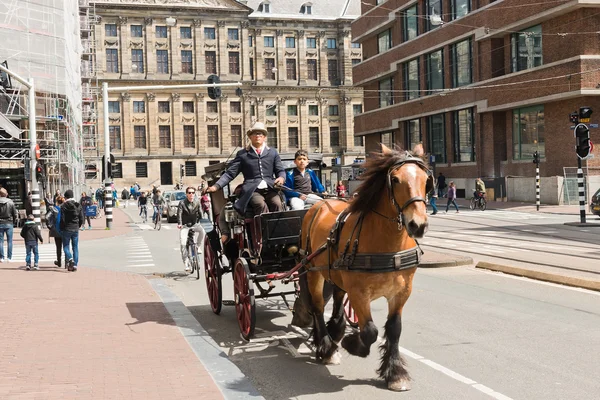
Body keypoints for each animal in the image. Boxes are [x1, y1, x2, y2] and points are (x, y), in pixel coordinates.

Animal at [296, 144, 428, 390]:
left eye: (426, 178)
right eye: (395, 179)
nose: (418, 225)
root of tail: (318, 203)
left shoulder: (402, 292)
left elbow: (394, 329)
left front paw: (395, 373)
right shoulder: (358, 293)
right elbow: (370, 331)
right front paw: (352, 343)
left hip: (336, 273)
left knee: (337, 301)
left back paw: (335, 331)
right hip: (313, 272)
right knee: (317, 307)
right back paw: (327, 347)